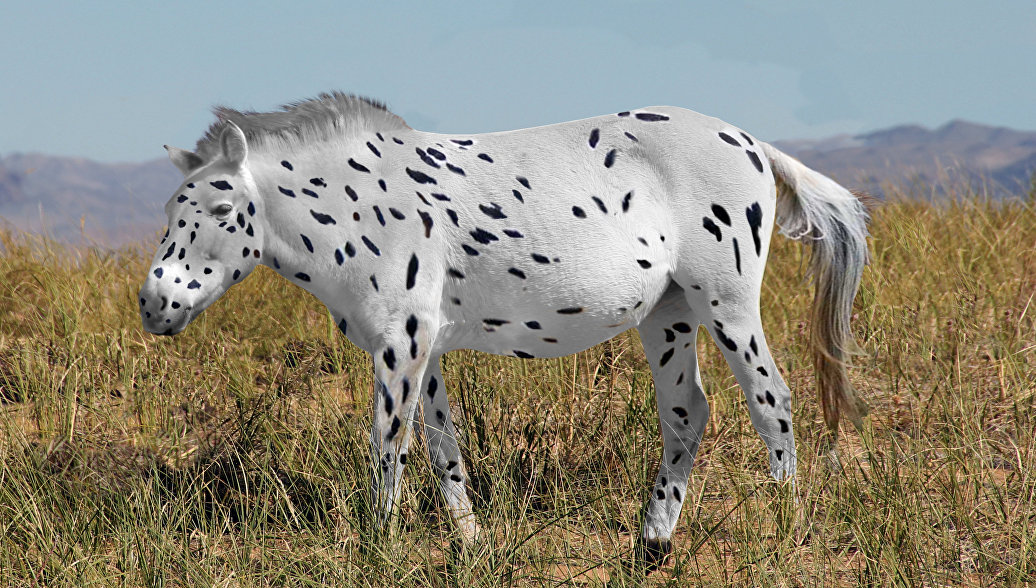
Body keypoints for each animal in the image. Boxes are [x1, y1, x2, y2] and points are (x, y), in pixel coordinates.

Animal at [135, 93, 866, 571]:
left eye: (222, 209)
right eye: (170, 207)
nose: (154, 303)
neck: (361, 203)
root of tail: (752, 144)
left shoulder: (400, 344)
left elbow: (388, 447)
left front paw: (377, 547)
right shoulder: (422, 349)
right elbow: (442, 449)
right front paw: (471, 544)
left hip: (728, 306)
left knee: (772, 402)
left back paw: (785, 531)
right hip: (669, 315)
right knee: (686, 413)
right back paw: (652, 544)